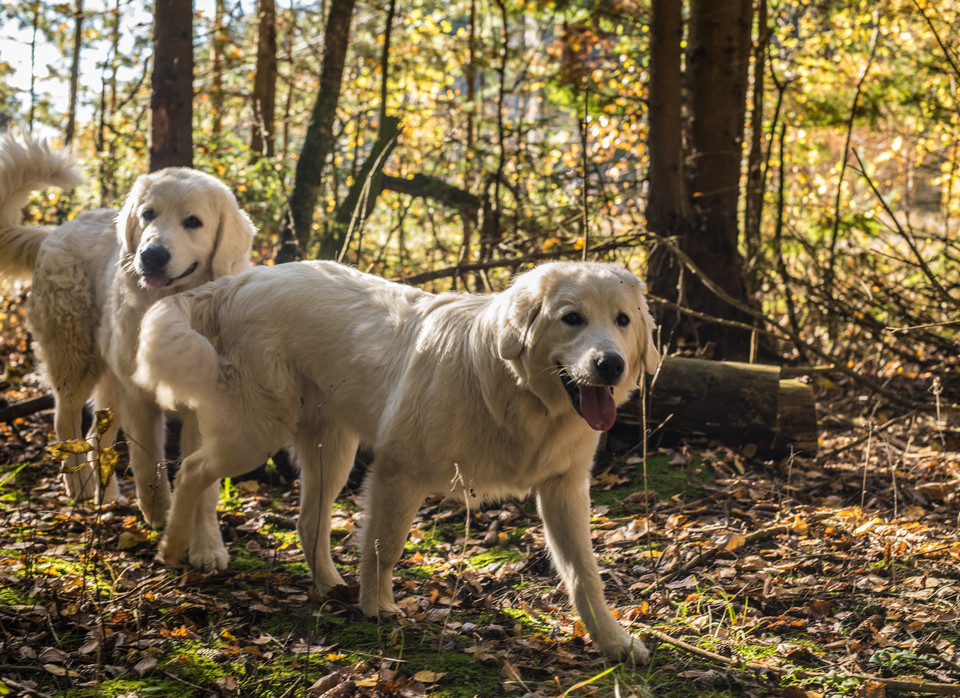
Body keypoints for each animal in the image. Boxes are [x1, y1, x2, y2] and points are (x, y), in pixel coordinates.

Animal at [0, 139, 253, 524]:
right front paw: (159, 517)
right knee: (65, 423)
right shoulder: (139, 394)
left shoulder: (204, 402)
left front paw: (202, 537)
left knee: (95, 435)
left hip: (110, 379)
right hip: (76, 359)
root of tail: (55, 231)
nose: (152, 255)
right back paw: (80, 489)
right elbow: (149, 466)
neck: (171, 307)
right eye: (148, 214)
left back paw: (106, 495)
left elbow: (203, 485)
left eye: (193, 222)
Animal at [137, 258, 660, 660]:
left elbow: (584, 574)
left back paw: (329, 584)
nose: (610, 365)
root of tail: (239, 281)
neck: (515, 391)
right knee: (192, 469)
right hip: (257, 432)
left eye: (622, 320)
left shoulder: (563, 489)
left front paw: (613, 643)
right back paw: (173, 547)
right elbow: (383, 547)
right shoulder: (399, 472)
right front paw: (377, 608)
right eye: (572, 318)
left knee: (306, 521)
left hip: (331, 451)